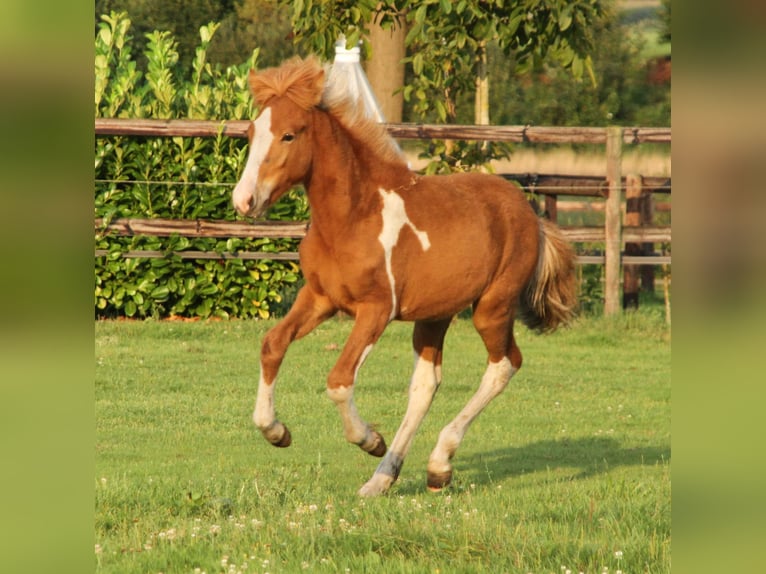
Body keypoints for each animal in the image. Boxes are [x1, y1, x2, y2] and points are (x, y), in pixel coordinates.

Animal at [231, 58, 580, 500]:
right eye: (251, 132)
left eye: (289, 134)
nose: (244, 201)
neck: (352, 218)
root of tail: (529, 213)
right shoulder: (320, 298)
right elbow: (272, 345)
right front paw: (276, 432)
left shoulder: (376, 310)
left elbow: (339, 380)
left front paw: (369, 440)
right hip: (435, 314)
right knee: (426, 385)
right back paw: (386, 478)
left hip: (492, 307)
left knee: (504, 365)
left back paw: (437, 463)